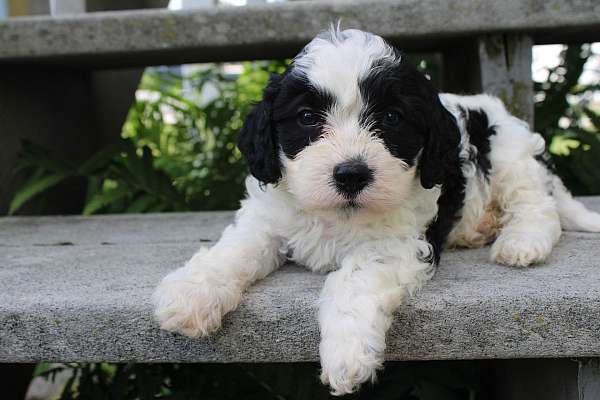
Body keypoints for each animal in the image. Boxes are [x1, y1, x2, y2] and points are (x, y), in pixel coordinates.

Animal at [152, 28, 600, 394]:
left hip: (509, 157)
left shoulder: (398, 243)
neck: (338, 214)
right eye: (307, 117)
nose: (351, 174)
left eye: (391, 117)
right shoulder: (268, 218)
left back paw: (521, 242)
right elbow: (234, 249)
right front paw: (191, 294)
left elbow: (352, 281)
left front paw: (347, 355)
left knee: (537, 205)